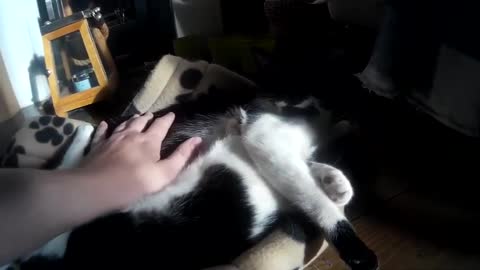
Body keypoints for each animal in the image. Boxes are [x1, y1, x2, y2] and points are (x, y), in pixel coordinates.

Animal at [11, 97, 376, 270]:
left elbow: (309, 177)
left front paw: (335, 181)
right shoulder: (265, 141)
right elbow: (314, 197)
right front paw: (357, 249)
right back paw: (85, 131)